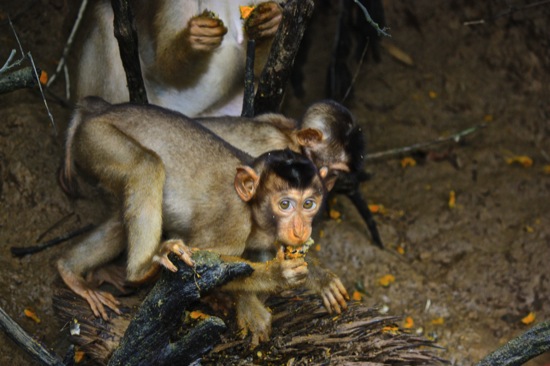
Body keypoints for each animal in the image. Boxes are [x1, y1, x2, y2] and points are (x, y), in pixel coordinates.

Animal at [57, 96, 350, 344]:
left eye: (309, 204)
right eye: (285, 204)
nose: (301, 228)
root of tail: (100, 108)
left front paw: (313, 277)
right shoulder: (233, 223)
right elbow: (205, 259)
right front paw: (277, 277)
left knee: (120, 217)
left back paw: (69, 270)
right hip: (98, 137)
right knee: (145, 165)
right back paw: (140, 270)